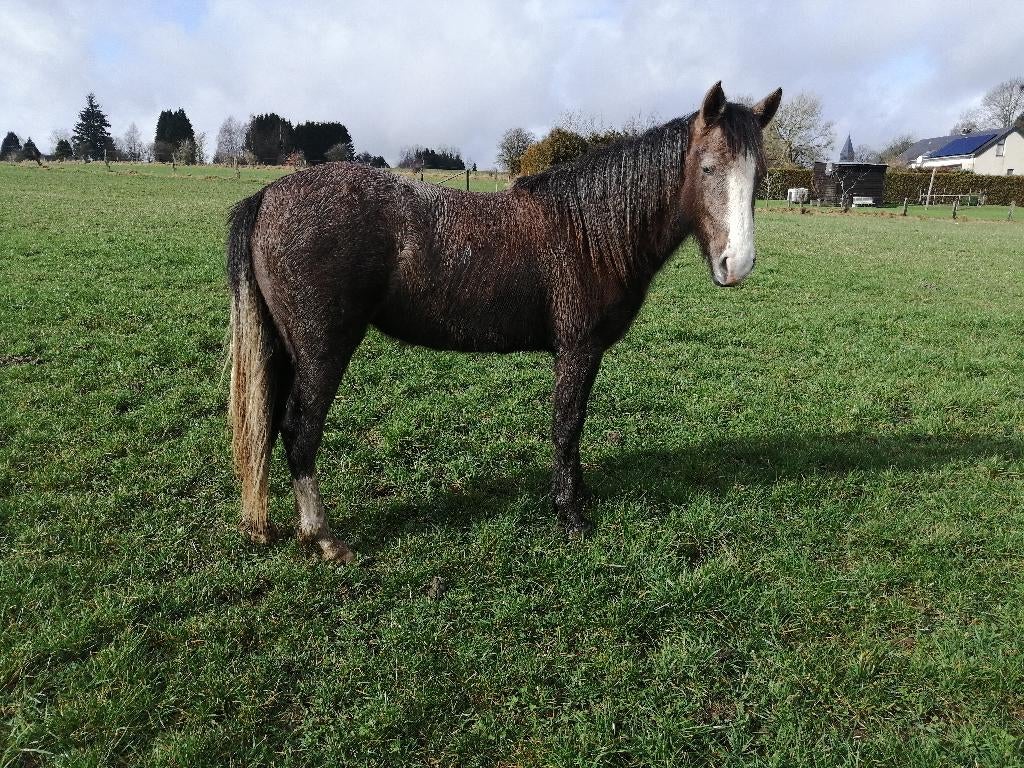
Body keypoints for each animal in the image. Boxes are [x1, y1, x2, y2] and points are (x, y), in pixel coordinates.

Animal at [227, 82, 782, 562]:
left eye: (758, 178)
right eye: (707, 168)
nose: (737, 265)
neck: (590, 232)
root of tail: (268, 196)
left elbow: (574, 427)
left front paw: (579, 497)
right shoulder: (577, 350)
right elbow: (566, 426)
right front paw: (570, 515)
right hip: (322, 350)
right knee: (299, 431)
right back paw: (323, 536)